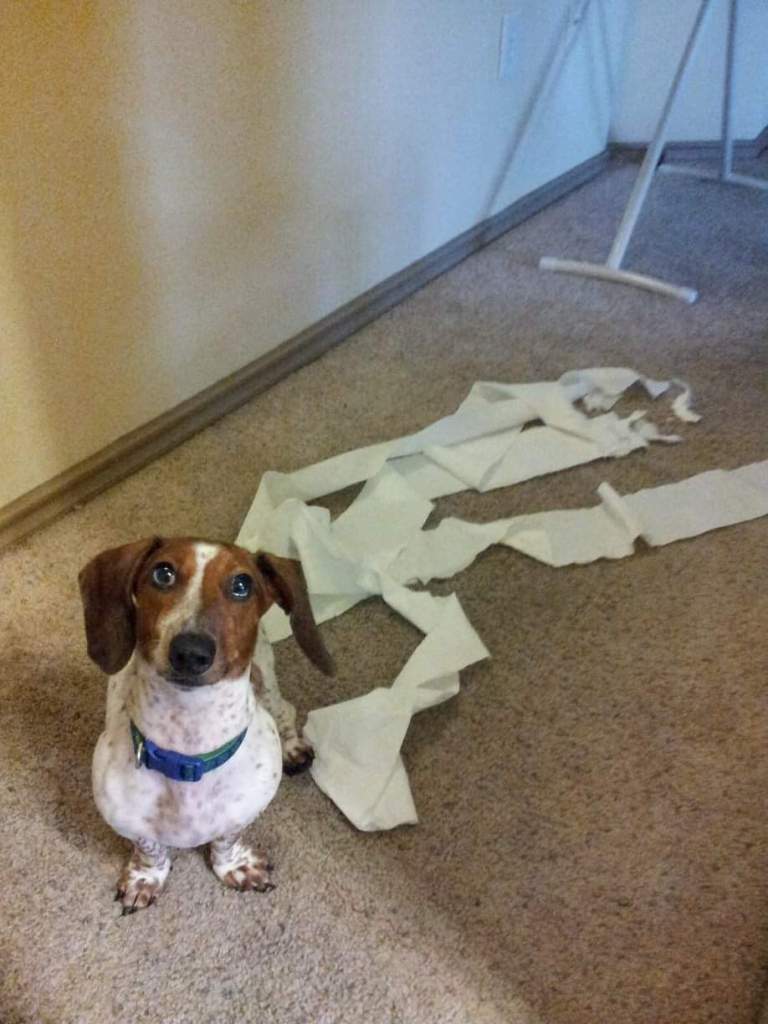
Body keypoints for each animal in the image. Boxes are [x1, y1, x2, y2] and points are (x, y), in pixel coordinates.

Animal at [78, 536, 333, 913]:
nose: (190, 652)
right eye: (163, 573)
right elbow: (150, 849)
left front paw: (234, 866)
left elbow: (227, 839)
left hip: (266, 677)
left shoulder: (245, 809)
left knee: (284, 709)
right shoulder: (126, 820)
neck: (190, 753)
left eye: (242, 585)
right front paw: (145, 878)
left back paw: (293, 747)